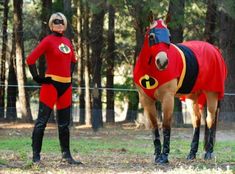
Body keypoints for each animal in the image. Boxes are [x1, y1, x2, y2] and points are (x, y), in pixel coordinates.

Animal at [133, 18, 227, 164]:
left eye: (169, 37)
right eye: (151, 36)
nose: (162, 61)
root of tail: (214, 49)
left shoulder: (168, 98)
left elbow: (166, 126)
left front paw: (164, 157)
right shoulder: (146, 99)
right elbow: (154, 126)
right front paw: (157, 156)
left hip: (212, 94)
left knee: (210, 120)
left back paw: (208, 153)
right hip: (191, 98)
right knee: (196, 121)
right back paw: (192, 154)